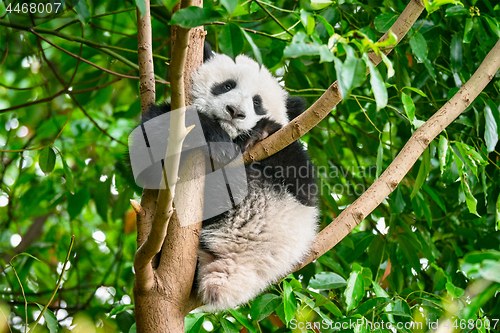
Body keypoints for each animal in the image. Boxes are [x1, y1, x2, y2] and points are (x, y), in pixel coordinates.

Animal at [135, 44, 318, 312]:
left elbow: (304, 187)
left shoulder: (290, 155)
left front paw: (256, 133)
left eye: (257, 103)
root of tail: (229, 270)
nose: (235, 112)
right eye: (227, 86)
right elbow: (146, 154)